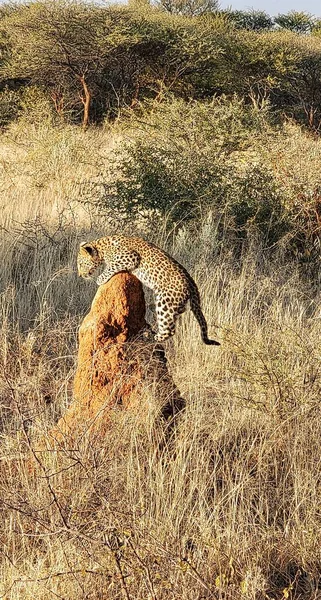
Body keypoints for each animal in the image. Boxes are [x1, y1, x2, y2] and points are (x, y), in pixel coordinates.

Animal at [76, 234, 219, 346]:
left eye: (81, 264)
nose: (80, 275)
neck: (103, 248)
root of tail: (191, 283)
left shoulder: (131, 257)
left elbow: (111, 267)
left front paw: (100, 279)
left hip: (165, 303)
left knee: (169, 330)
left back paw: (150, 336)